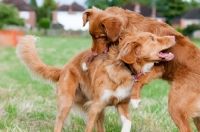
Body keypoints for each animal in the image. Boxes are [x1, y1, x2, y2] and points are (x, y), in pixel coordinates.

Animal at [16, 32, 175, 132]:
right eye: (152, 39)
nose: (174, 36)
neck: (125, 67)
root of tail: (64, 68)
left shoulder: (122, 104)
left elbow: (128, 123)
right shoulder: (96, 105)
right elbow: (88, 128)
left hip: (100, 110)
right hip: (67, 103)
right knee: (58, 124)